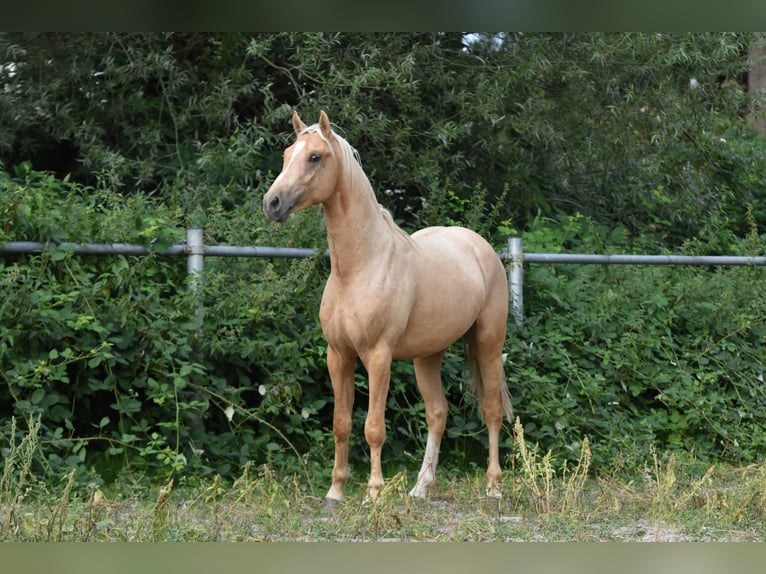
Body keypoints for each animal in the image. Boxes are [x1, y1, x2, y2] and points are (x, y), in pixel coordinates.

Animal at [260, 110, 512, 502]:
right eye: (288, 154)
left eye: (315, 156)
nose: (272, 203)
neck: (360, 267)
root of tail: (478, 245)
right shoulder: (338, 355)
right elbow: (342, 423)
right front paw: (336, 491)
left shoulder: (378, 357)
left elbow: (373, 427)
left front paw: (373, 493)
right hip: (428, 355)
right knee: (437, 412)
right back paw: (420, 488)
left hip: (488, 342)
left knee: (492, 410)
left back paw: (493, 486)